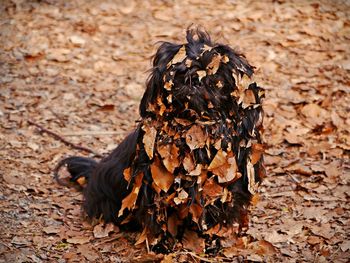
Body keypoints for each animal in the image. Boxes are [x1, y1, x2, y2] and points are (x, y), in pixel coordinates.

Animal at [55, 29, 266, 254]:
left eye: (215, 74)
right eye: (178, 72)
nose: (194, 78)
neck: (194, 131)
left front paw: (210, 243)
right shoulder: (154, 187)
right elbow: (158, 218)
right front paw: (161, 246)